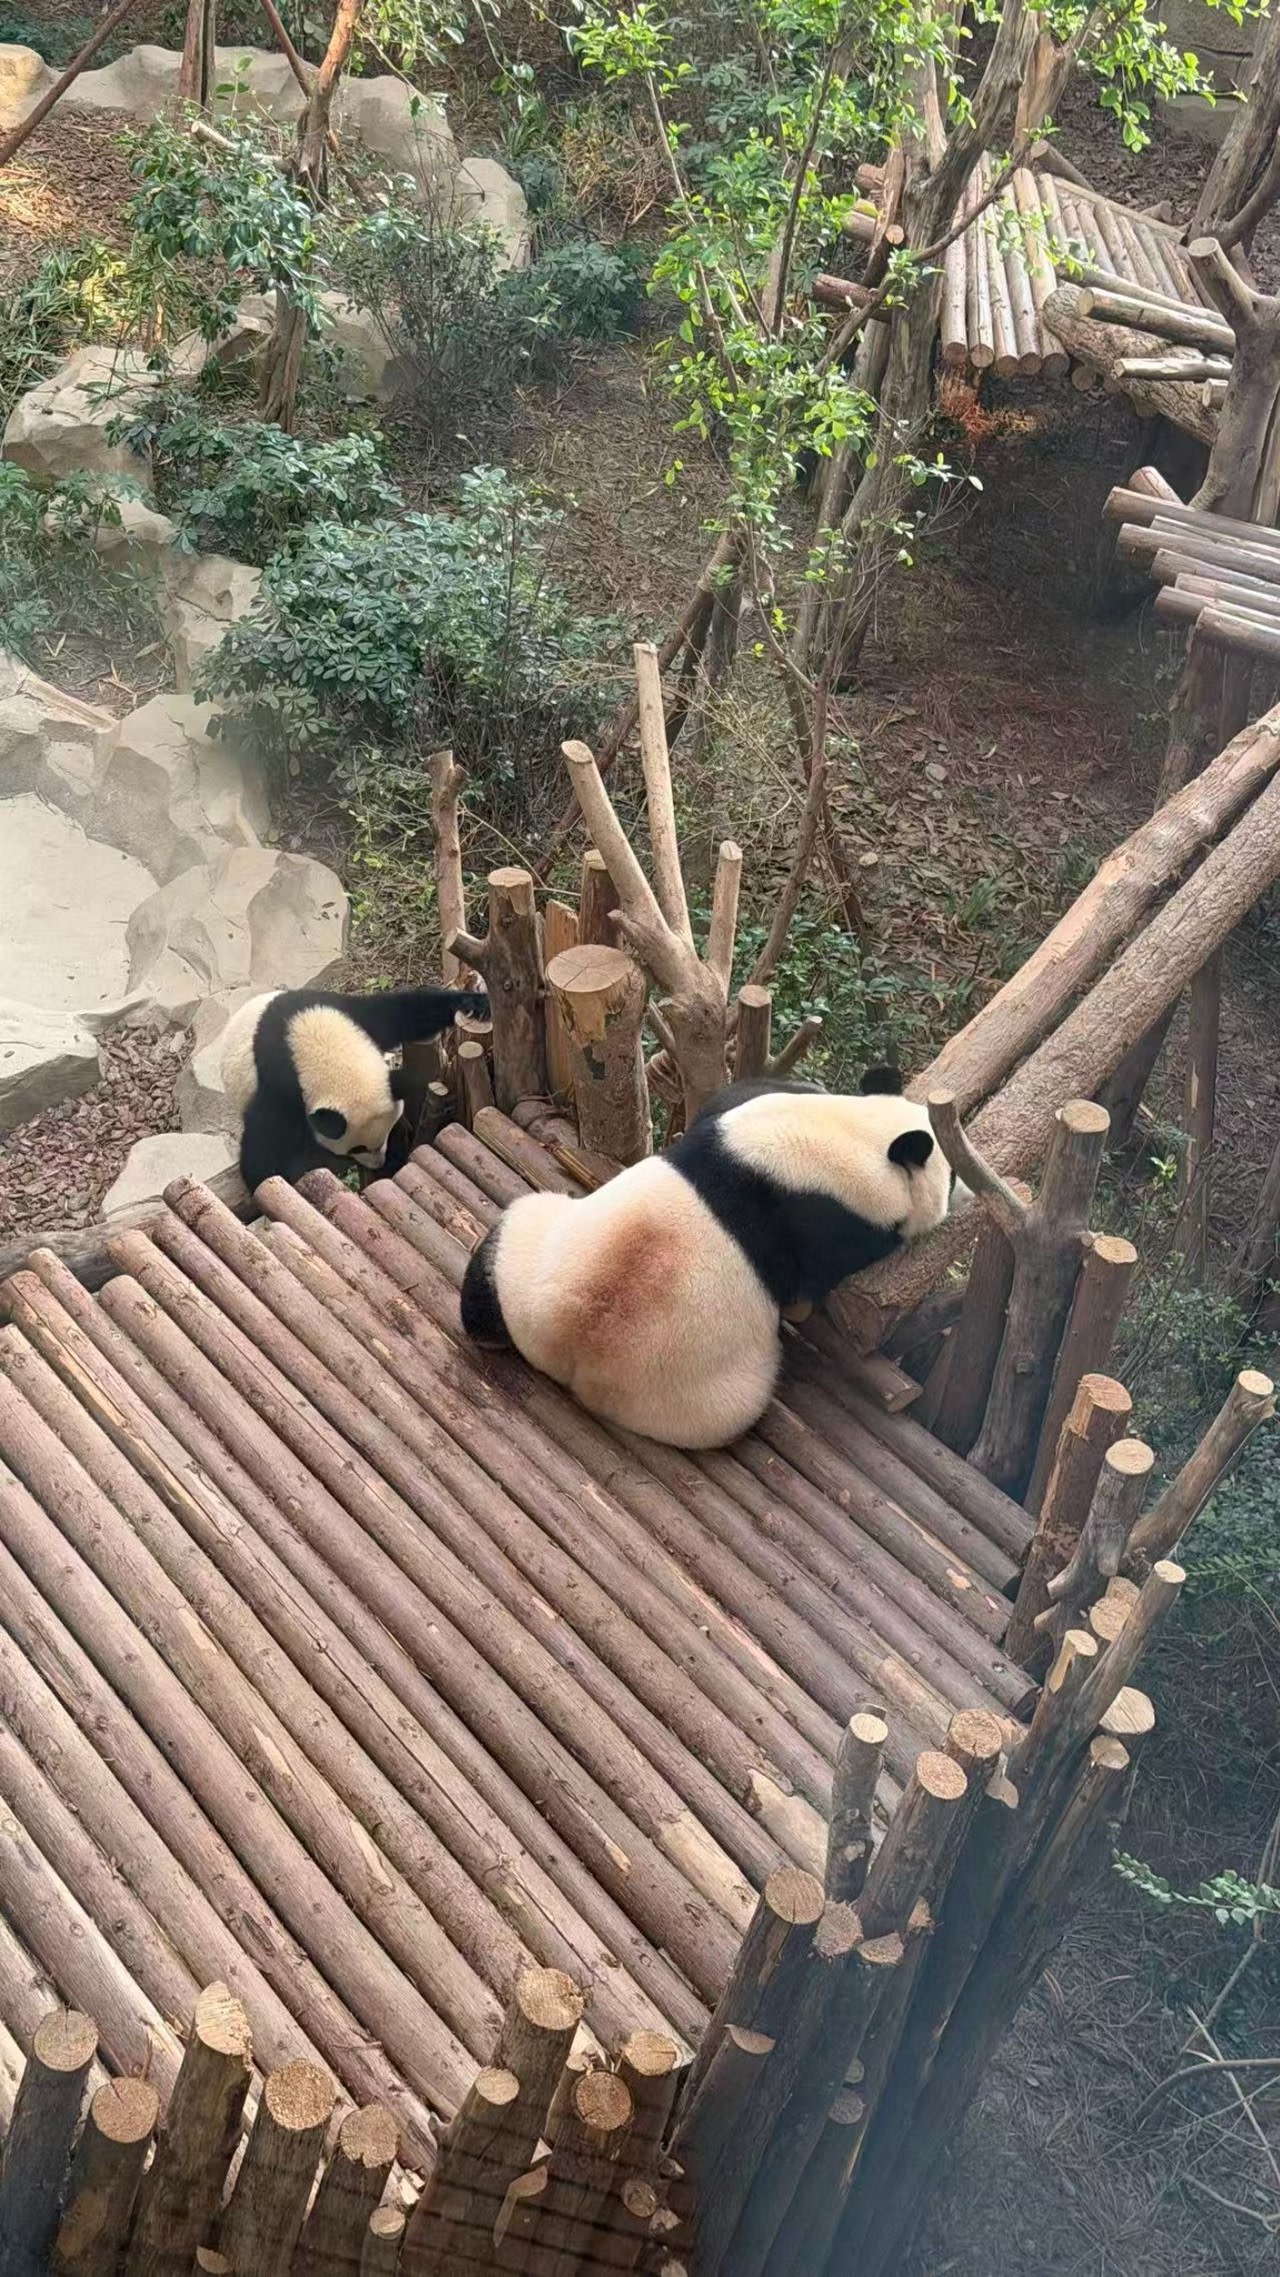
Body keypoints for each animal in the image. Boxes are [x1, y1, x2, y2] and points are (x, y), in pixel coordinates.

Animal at [220, 983, 487, 1194]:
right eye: (357, 1148)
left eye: (384, 1134)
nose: (377, 1163)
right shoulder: (280, 1080)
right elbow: (266, 1130)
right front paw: (264, 1179)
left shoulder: (345, 1013)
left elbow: (403, 1013)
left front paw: (476, 1004)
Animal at [459, 1066, 954, 1450]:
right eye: (951, 1179)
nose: (960, 1195)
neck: (851, 1135)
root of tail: (572, 1360)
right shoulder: (830, 1218)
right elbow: (815, 1278)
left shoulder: (733, 1122)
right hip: (702, 1398)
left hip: (528, 1257)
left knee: (491, 1272)